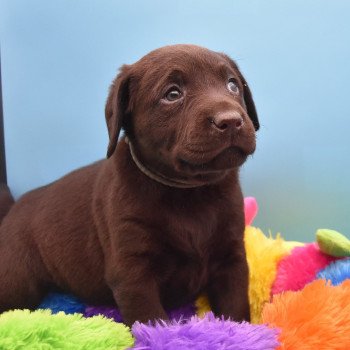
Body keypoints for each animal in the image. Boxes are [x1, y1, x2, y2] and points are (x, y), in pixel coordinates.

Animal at [0, 44, 258, 326]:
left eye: (232, 85)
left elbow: (235, 308)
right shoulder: (133, 270)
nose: (231, 120)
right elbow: (149, 318)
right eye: (172, 94)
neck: (189, 191)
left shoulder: (232, 258)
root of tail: (13, 209)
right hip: (16, 278)